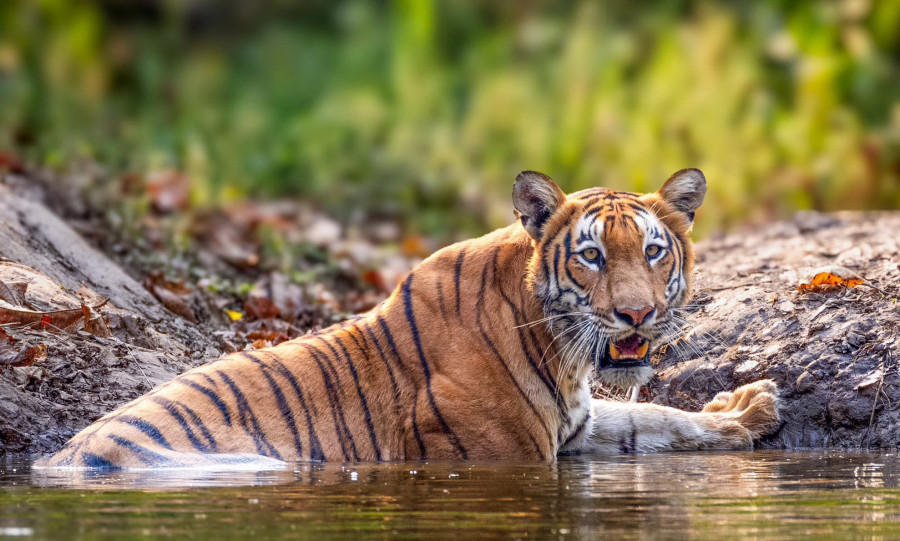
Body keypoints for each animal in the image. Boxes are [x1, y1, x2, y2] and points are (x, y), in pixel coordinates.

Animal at [41, 168, 780, 468]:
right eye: (592, 256)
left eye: (653, 250)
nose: (636, 313)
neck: (556, 347)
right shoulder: (510, 454)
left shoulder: (578, 428)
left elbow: (654, 418)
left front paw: (747, 410)